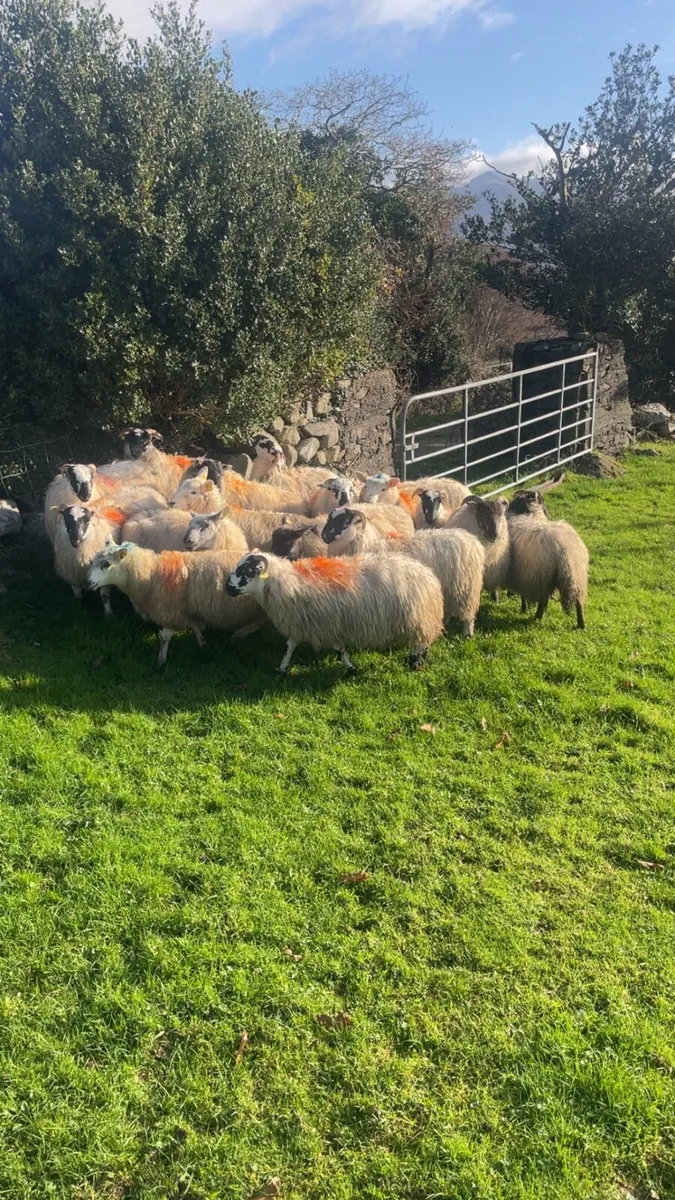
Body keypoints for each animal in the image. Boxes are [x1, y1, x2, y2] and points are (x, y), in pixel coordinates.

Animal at [87, 543, 261, 667]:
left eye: (106, 564)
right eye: (93, 561)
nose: (88, 582)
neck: (151, 574)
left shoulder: (172, 612)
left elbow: (164, 637)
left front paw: (160, 661)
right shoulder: (186, 608)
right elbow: (195, 626)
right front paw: (202, 644)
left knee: (257, 624)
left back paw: (237, 635)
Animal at [224, 550, 444, 673]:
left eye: (247, 571)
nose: (226, 588)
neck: (287, 582)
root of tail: (428, 574)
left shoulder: (328, 624)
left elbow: (339, 648)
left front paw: (350, 668)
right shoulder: (301, 623)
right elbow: (290, 646)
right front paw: (282, 668)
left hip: (417, 617)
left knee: (420, 641)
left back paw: (414, 663)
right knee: (424, 642)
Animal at [319, 507, 485, 636]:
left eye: (344, 522)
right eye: (329, 519)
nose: (324, 536)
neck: (364, 543)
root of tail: (472, 541)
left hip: (466, 587)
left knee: (468, 614)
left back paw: (467, 634)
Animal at [506, 493, 589, 628]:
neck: (530, 514)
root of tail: (563, 549)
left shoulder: (524, 573)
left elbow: (523, 595)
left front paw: (523, 608)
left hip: (543, 577)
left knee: (543, 601)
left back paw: (537, 617)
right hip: (576, 577)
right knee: (578, 602)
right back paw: (581, 624)